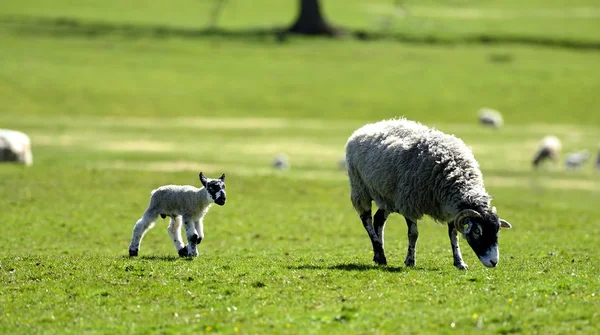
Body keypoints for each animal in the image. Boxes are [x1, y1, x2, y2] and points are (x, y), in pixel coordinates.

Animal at [346, 118, 510, 270]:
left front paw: (459, 262)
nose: (493, 262)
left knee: (378, 220)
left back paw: (379, 253)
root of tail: (368, 126)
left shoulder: (449, 208)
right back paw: (380, 255)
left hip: (388, 196)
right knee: (366, 220)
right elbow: (413, 234)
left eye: (497, 231)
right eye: (477, 231)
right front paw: (410, 261)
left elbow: (453, 235)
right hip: (360, 188)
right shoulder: (409, 202)